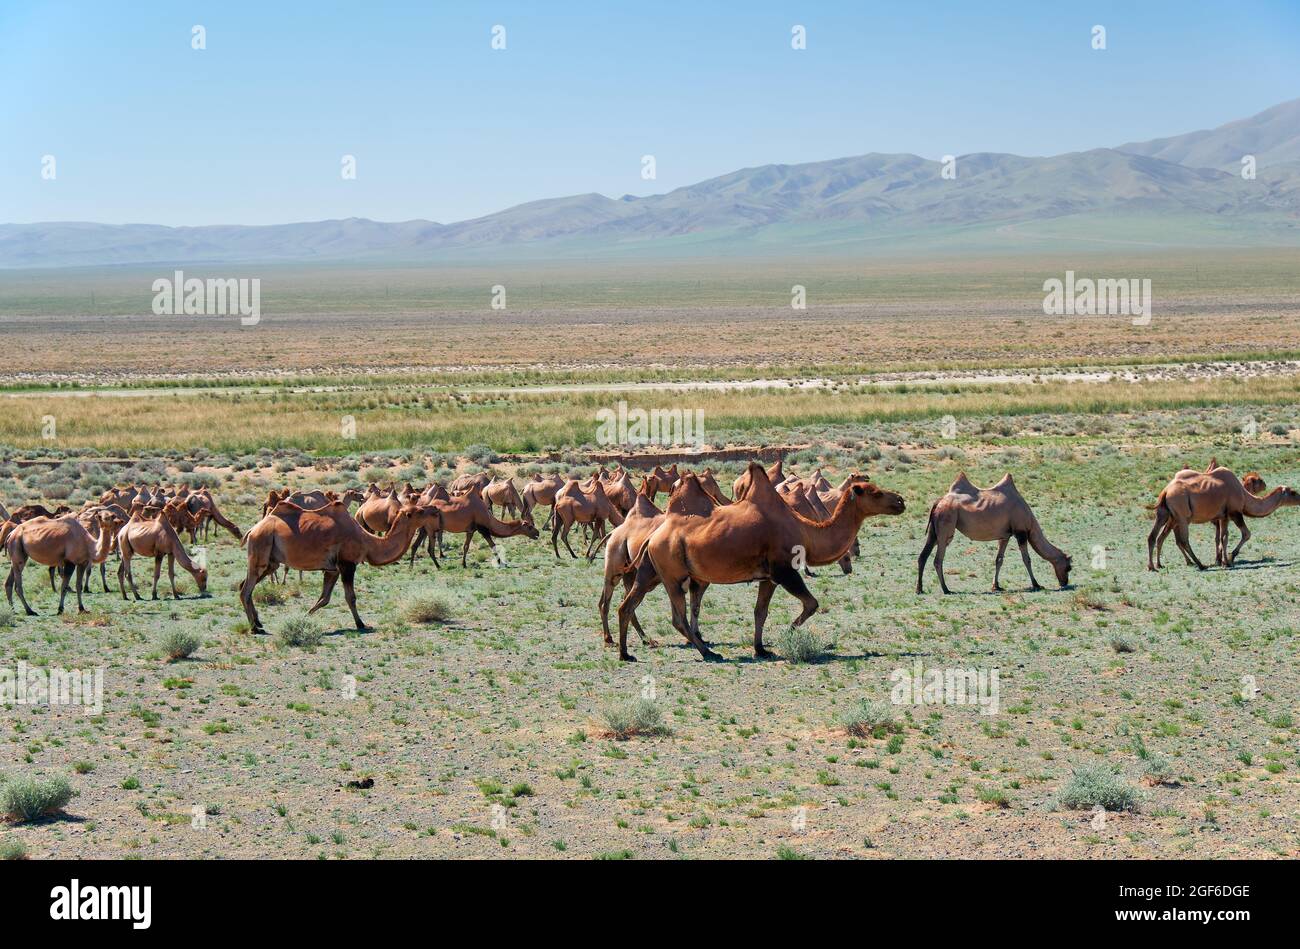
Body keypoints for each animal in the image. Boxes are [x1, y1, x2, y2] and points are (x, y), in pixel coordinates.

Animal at [241, 499, 444, 631]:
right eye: (420, 511)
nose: (434, 508)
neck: (367, 541)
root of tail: (252, 529)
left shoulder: (333, 569)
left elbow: (324, 598)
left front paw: (306, 615)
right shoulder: (348, 564)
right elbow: (350, 597)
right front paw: (361, 624)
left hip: (270, 561)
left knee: (246, 585)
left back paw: (258, 622)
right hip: (261, 545)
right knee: (245, 590)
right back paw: (254, 628)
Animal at [618, 460, 904, 657]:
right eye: (875, 492)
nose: (900, 500)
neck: (805, 531)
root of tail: (654, 535)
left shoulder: (769, 577)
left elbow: (760, 612)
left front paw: (761, 649)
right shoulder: (784, 570)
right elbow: (811, 604)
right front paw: (788, 632)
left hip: (652, 571)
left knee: (627, 605)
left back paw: (626, 654)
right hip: (672, 573)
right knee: (677, 618)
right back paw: (709, 653)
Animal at [909, 470, 1071, 592]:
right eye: (1068, 568)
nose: (1064, 583)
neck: (1030, 521)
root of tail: (938, 502)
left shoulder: (1005, 535)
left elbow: (999, 560)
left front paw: (996, 586)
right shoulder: (1021, 532)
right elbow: (1027, 559)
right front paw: (1036, 584)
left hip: (934, 530)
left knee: (923, 556)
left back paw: (919, 589)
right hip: (946, 524)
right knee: (938, 559)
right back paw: (946, 589)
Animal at [1149, 462, 1300, 566]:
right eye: (1293, 492)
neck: (1244, 495)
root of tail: (1166, 490)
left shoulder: (1223, 516)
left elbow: (1223, 537)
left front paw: (1224, 562)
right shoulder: (1235, 512)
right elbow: (1246, 534)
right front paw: (1231, 558)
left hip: (1165, 514)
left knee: (1154, 536)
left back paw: (1155, 566)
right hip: (1182, 516)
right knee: (1182, 540)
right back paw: (1199, 564)